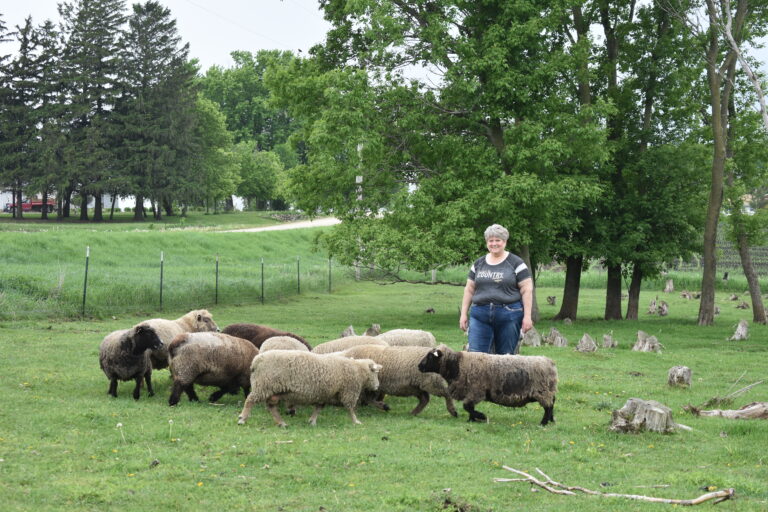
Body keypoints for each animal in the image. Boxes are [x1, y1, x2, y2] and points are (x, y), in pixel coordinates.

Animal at [237, 351, 382, 427]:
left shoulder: (325, 394)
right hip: (263, 385)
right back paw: (242, 418)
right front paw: (356, 421)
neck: (358, 370)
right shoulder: (349, 391)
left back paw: (281, 423)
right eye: (375, 373)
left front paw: (312, 421)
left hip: (273, 390)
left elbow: (318, 408)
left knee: (271, 407)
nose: (377, 386)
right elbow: (350, 408)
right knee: (250, 400)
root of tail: (256, 361)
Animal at [417, 344, 558, 425]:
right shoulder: (470, 392)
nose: (419, 366)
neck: (457, 365)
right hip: (548, 391)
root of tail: (549, 362)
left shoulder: (476, 391)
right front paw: (471, 420)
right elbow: (470, 407)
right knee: (552, 404)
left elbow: (467, 406)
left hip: (542, 391)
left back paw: (543, 423)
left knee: (548, 407)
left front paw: (481, 417)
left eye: (430, 356)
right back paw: (551, 420)